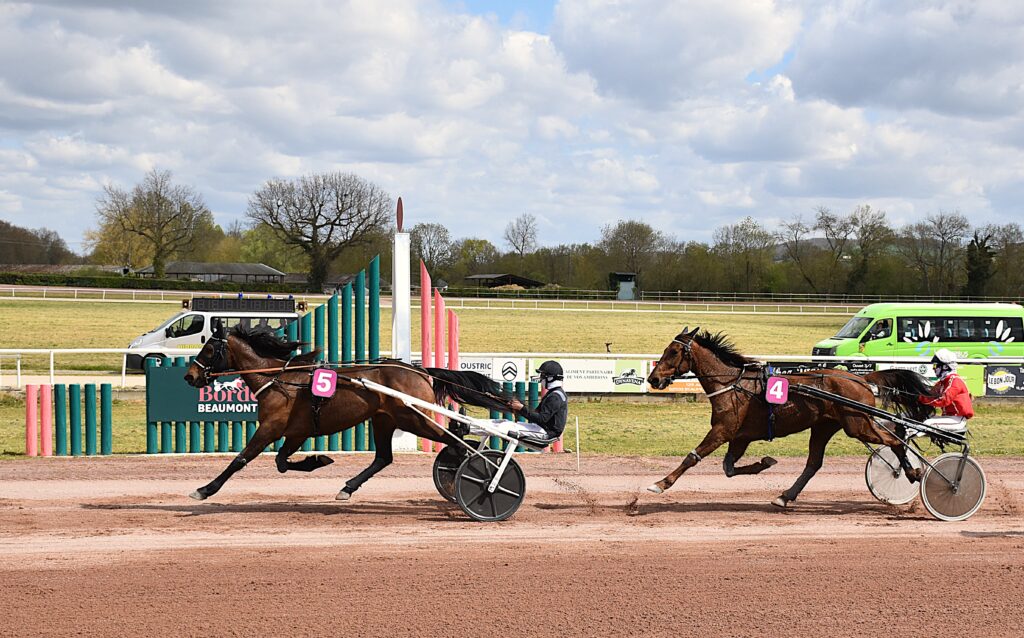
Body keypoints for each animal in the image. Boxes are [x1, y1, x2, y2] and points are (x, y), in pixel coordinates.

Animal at [182, 322, 512, 502]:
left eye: (209, 350)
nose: (189, 376)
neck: (277, 379)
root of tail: (420, 371)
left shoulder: (272, 427)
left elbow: (240, 459)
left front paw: (205, 489)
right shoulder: (297, 431)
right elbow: (281, 462)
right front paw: (318, 460)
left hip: (414, 418)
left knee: (457, 440)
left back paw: (479, 473)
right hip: (385, 420)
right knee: (384, 458)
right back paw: (348, 488)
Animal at [645, 326, 933, 508]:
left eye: (673, 352)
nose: (653, 379)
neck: (733, 385)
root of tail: (860, 378)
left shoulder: (722, 431)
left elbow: (692, 457)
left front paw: (660, 483)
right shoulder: (740, 437)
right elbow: (729, 469)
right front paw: (765, 462)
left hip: (857, 423)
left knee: (895, 439)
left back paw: (911, 472)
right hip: (825, 426)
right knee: (814, 464)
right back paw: (784, 496)